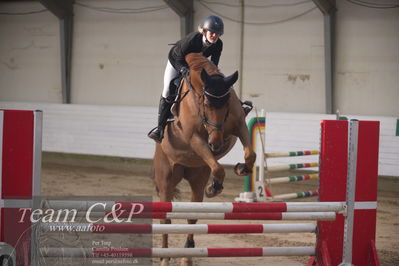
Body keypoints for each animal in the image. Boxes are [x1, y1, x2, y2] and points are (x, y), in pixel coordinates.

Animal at [153, 53, 256, 264]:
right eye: (206, 105)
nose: (215, 143)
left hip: (197, 178)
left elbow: (250, 154)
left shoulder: (239, 125)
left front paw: (241, 168)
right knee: (165, 219)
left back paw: (187, 255)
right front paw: (214, 188)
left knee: (192, 216)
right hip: (166, 178)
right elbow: (218, 168)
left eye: (226, 104)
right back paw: (165, 258)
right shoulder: (195, 138)